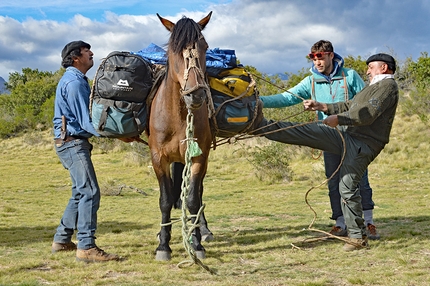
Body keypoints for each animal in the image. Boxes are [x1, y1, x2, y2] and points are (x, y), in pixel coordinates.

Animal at [148, 12, 213, 260]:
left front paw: (196, 243)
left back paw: (204, 230)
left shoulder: (199, 157)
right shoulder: (159, 159)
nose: (196, 95)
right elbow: (165, 200)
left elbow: (193, 199)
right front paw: (163, 245)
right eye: (173, 49)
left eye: (204, 46)